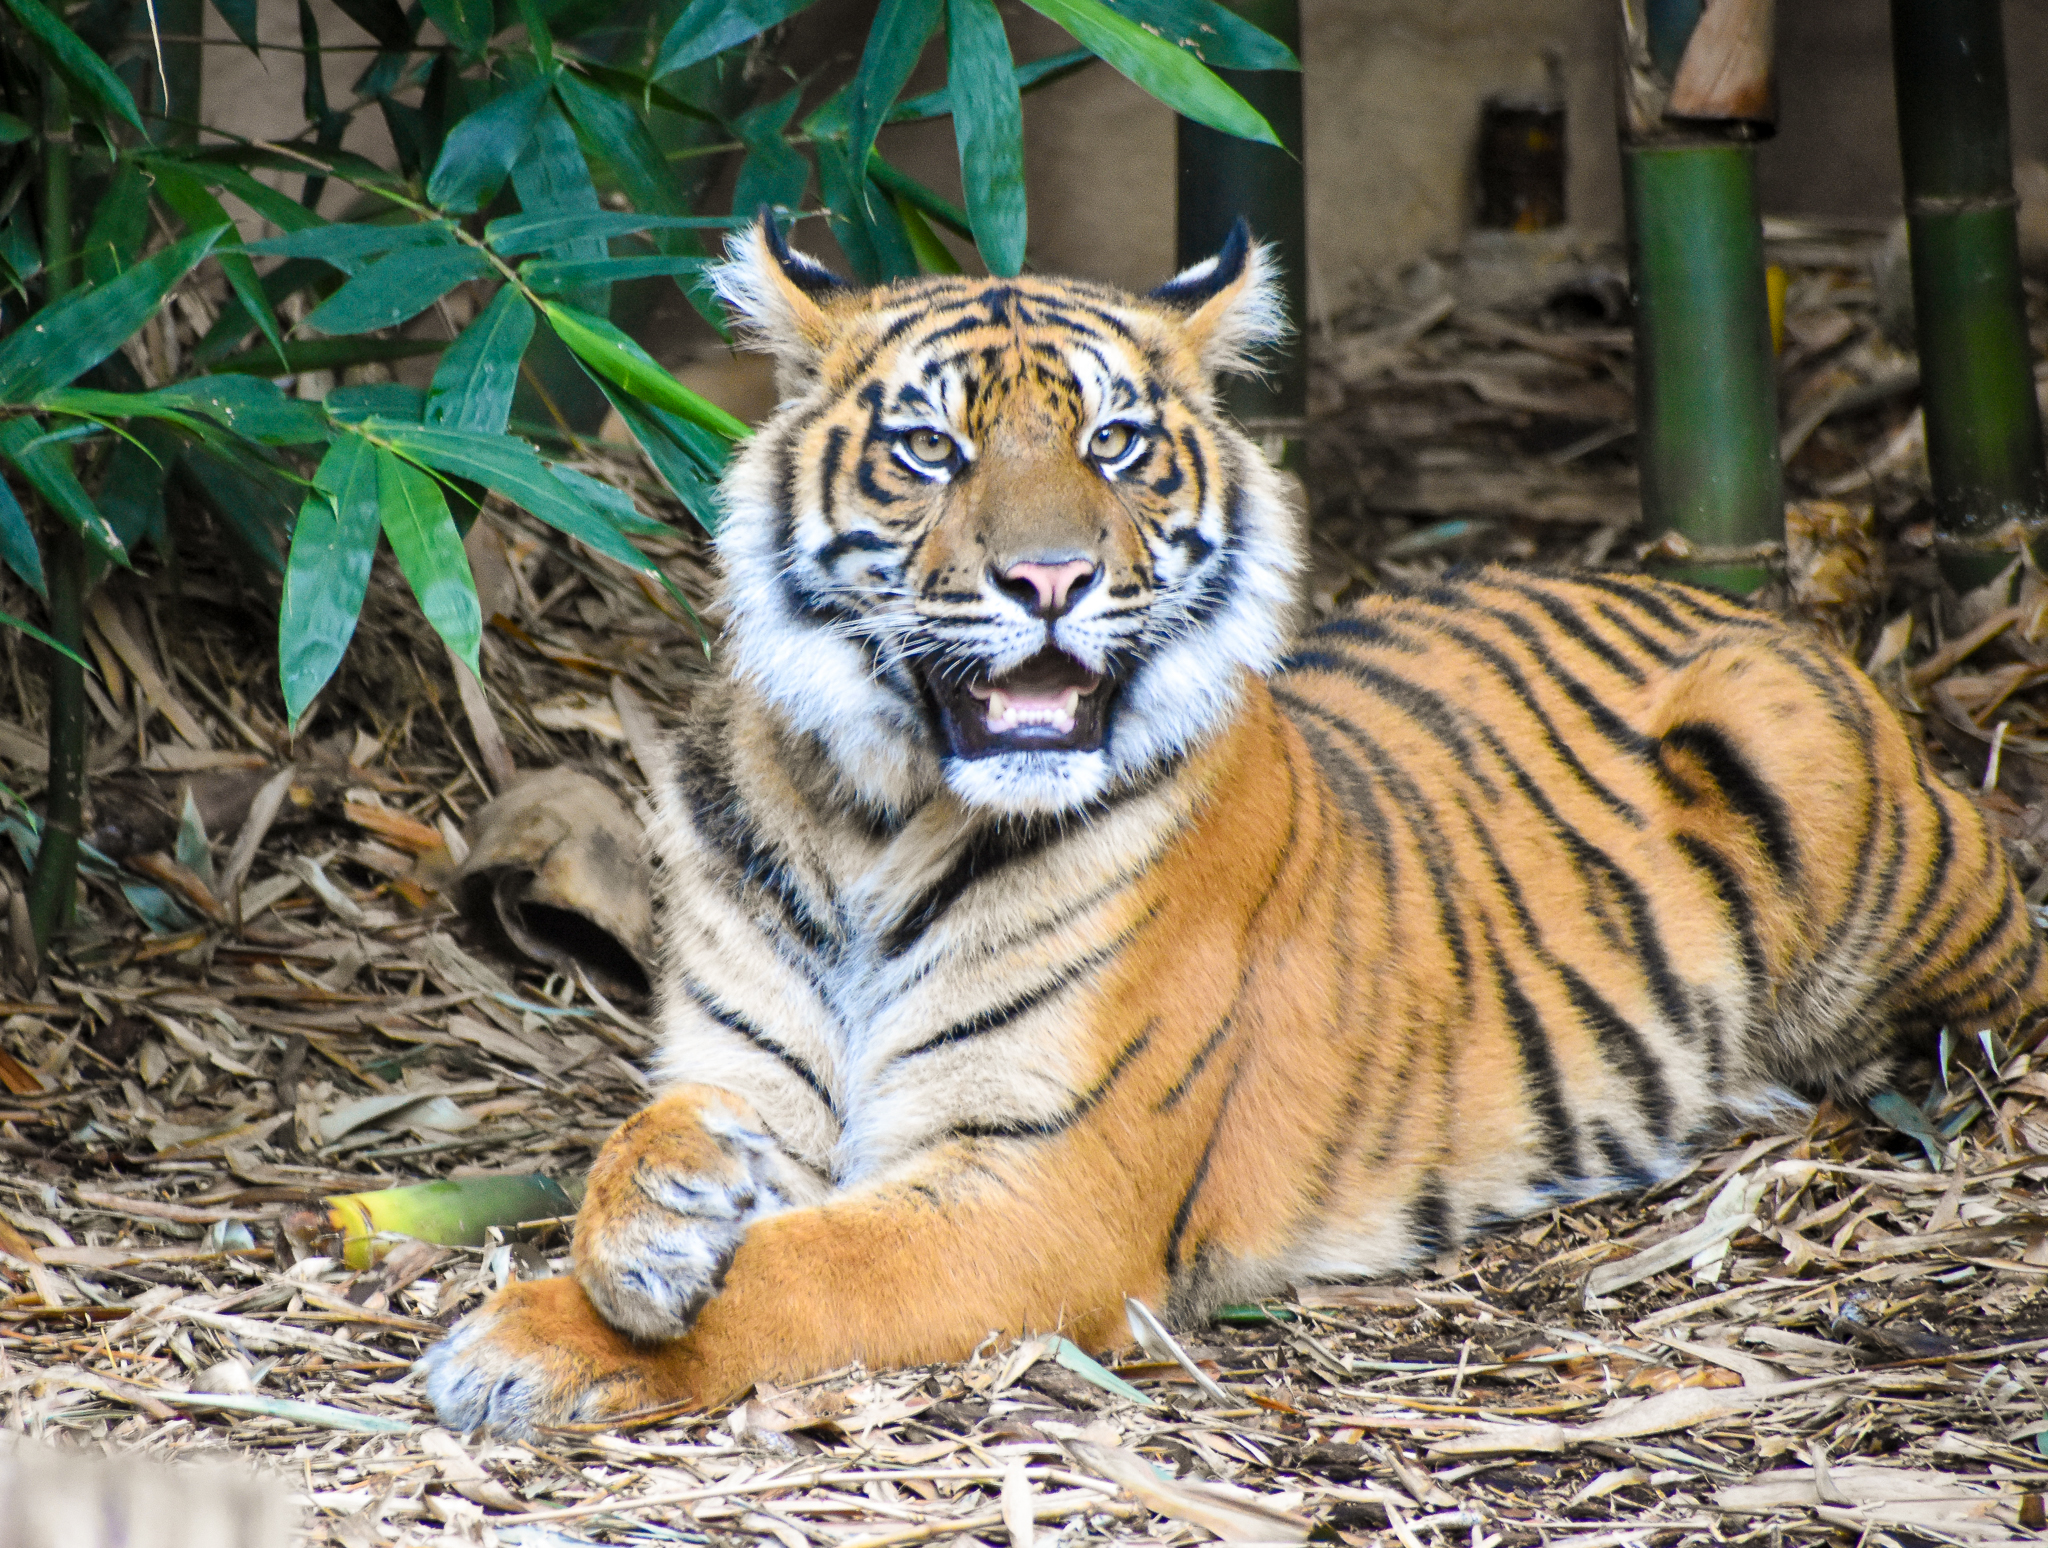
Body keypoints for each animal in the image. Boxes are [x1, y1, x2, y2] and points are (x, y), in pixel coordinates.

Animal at [421, 218, 2048, 1435]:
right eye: (932, 451)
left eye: (1118, 445)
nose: (1051, 580)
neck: (874, 822)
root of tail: (1736, 597)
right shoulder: (745, 1064)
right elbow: (645, 1138)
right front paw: (649, 1224)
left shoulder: (1038, 1188)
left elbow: (805, 1275)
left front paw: (523, 1344)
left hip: (1821, 781)